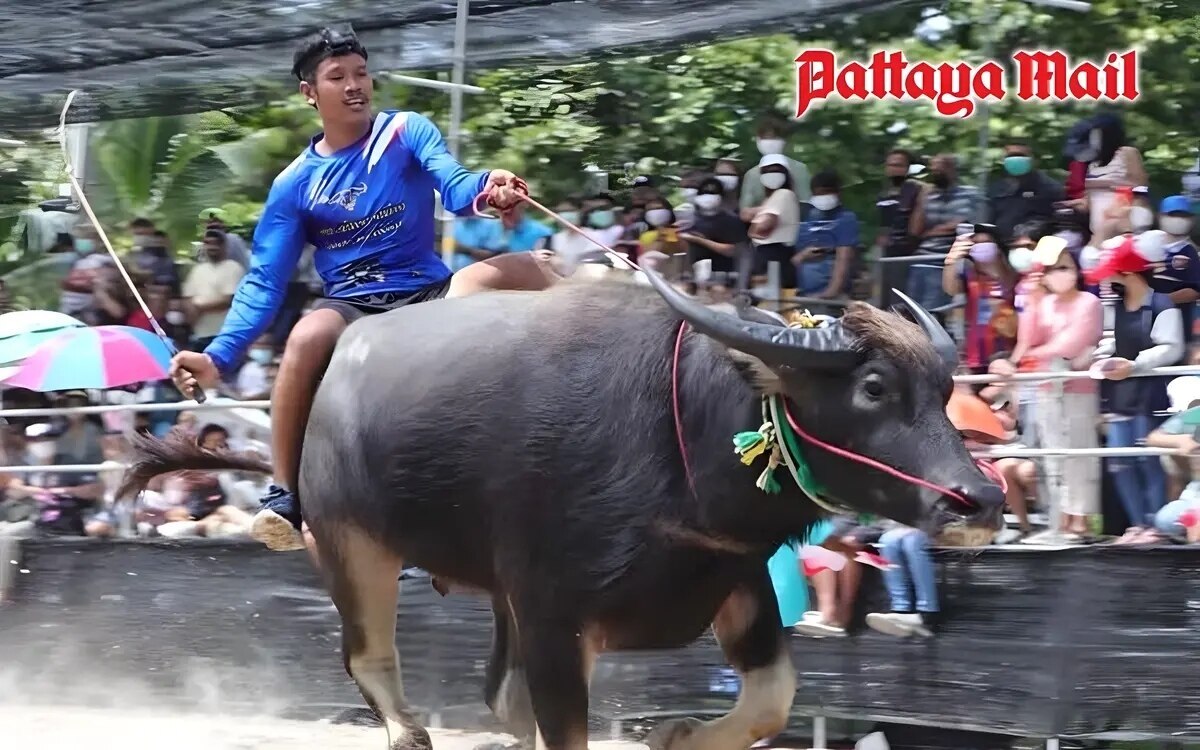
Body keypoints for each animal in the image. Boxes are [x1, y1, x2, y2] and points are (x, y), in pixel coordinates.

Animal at [119, 270, 1003, 750]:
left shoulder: (734, 574)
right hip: (349, 541)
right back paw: (407, 727)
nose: (983, 498)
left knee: (492, 693)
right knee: (369, 657)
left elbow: (771, 699)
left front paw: (674, 732)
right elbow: (559, 721)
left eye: (943, 389)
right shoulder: (553, 616)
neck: (678, 426)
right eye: (874, 388)